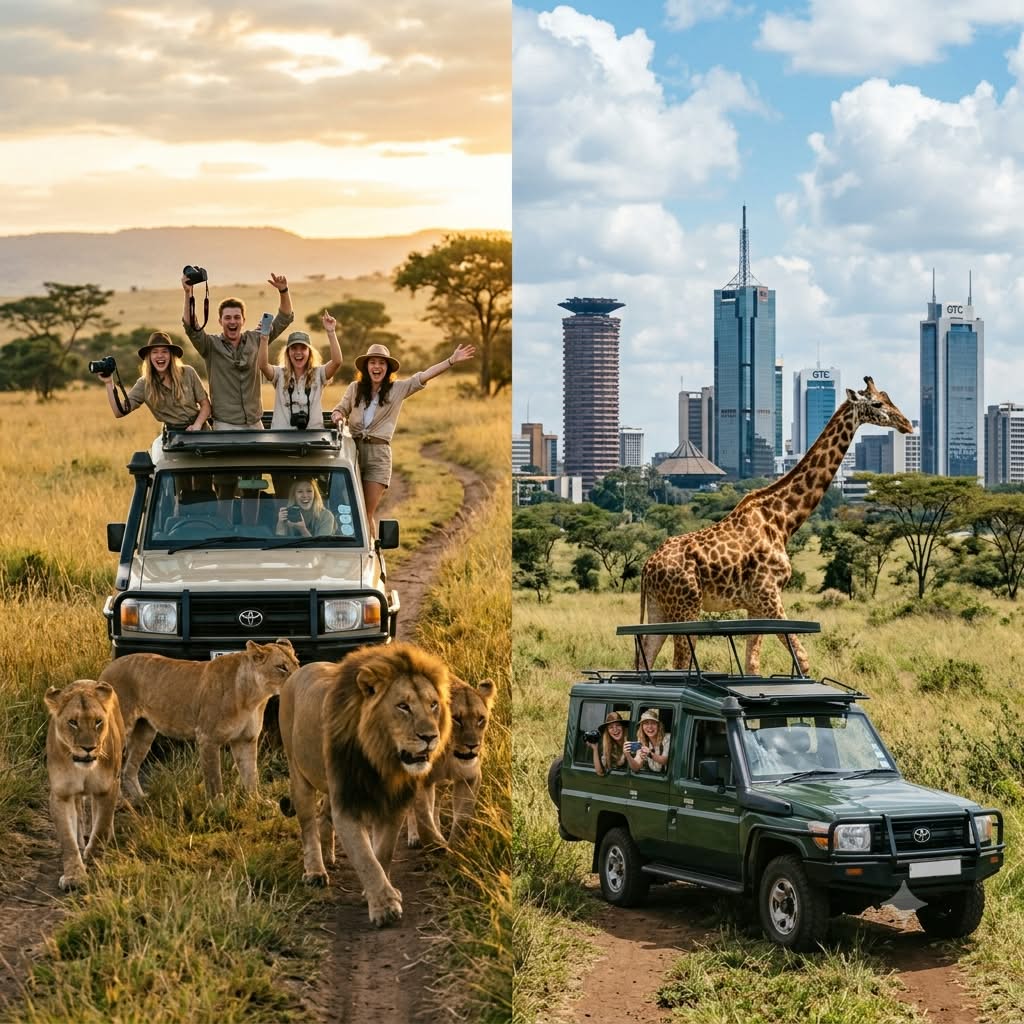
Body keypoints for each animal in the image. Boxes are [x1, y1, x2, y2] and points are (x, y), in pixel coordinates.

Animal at [44, 680, 125, 891]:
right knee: (79, 813)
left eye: (98, 721)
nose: (88, 748)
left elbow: (101, 827)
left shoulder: (107, 788)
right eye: (73, 722)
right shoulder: (61, 794)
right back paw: (82, 843)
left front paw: (95, 862)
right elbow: (68, 840)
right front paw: (74, 876)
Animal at [99, 639, 299, 801]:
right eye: (282, 667)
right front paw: (219, 808)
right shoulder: (208, 738)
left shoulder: (246, 740)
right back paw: (118, 803)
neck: (254, 697)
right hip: (119, 729)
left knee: (129, 769)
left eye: (296, 663)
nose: (300, 676)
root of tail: (107, 668)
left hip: (145, 731)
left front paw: (257, 802)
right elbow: (214, 779)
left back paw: (140, 800)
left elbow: (251, 775)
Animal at [278, 642, 451, 927]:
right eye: (403, 706)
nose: (430, 737)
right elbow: (364, 857)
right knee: (308, 825)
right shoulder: (347, 803)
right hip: (299, 773)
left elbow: (382, 853)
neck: (381, 760)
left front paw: (379, 894)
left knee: (324, 814)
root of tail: (300, 669)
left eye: (433, 705)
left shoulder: (393, 804)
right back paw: (316, 871)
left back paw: (329, 856)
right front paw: (385, 908)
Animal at [406, 677, 497, 848]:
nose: (472, 746)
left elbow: (462, 818)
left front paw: (455, 848)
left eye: (480, 719)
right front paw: (435, 844)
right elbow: (423, 817)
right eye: (456, 719)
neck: (447, 754)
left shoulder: (470, 777)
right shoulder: (421, 777)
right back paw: (414, 836)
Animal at [638, 377, 913, 676]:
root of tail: (647, 567)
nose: (907, 424)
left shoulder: (755, 605)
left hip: (659, 608)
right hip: (686, 607)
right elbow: (802, 657)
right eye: (877, 403)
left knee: (644, 658)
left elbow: (752, 663)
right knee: (678, 664)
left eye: (888, 398)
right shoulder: (769, 594)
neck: (782, 520)